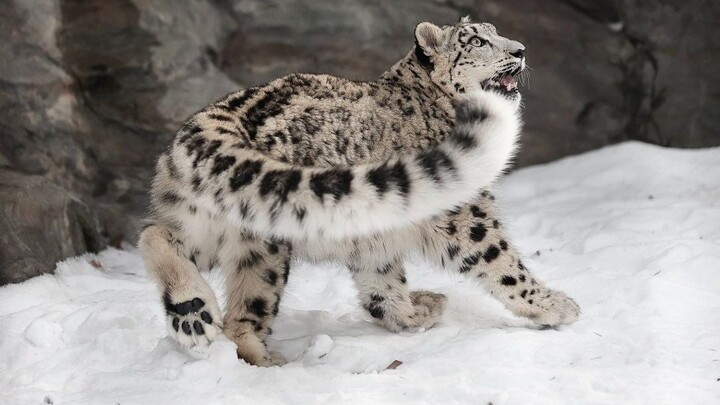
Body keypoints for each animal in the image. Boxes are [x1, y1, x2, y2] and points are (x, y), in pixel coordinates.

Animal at [139, 16, 580, 367]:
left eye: (495, 32)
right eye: (475, 41)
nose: (521, 50)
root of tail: (215, 125)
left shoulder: (374, 238)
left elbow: (383, 283)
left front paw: (417, 311)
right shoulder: (465, 212)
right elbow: (500, 259)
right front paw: (555, 306)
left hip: (201, 223)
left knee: (154, 235)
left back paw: (190, 311)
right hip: (263, 245)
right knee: (243, 312)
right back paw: (262, 358)